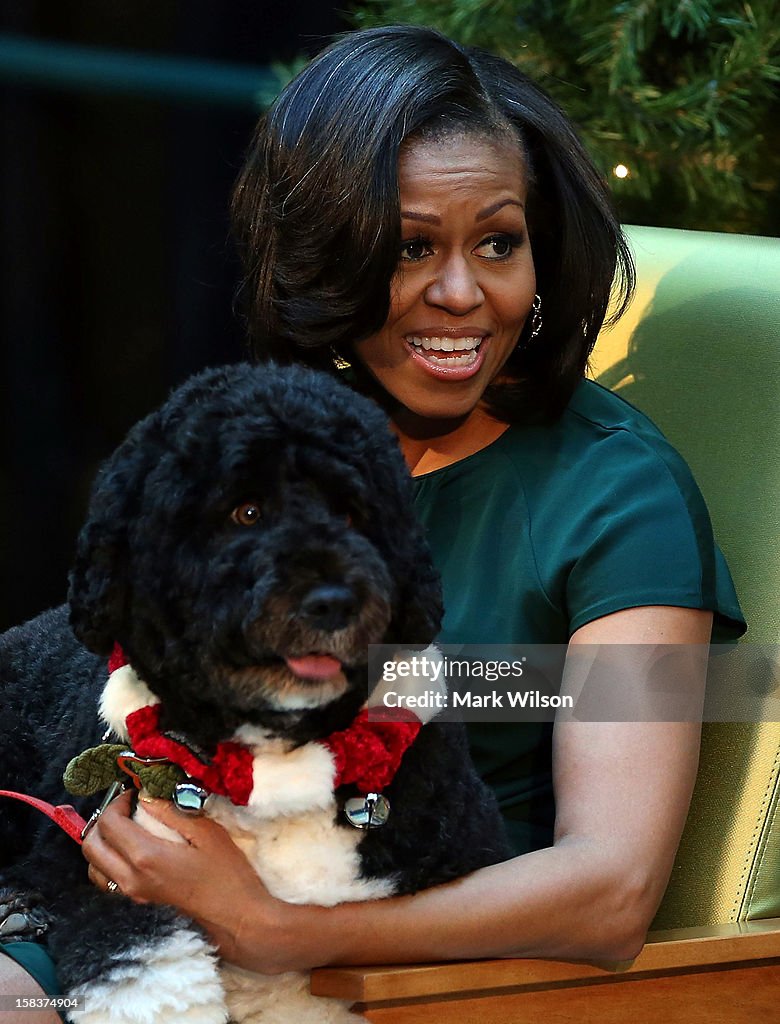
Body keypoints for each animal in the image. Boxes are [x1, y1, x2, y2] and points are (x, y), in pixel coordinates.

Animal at [0, 364, 507, 1019]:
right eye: (246, 511)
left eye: (352, 513)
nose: (333, 601)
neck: (266, 762)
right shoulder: (94, 876)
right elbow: (145, 964)